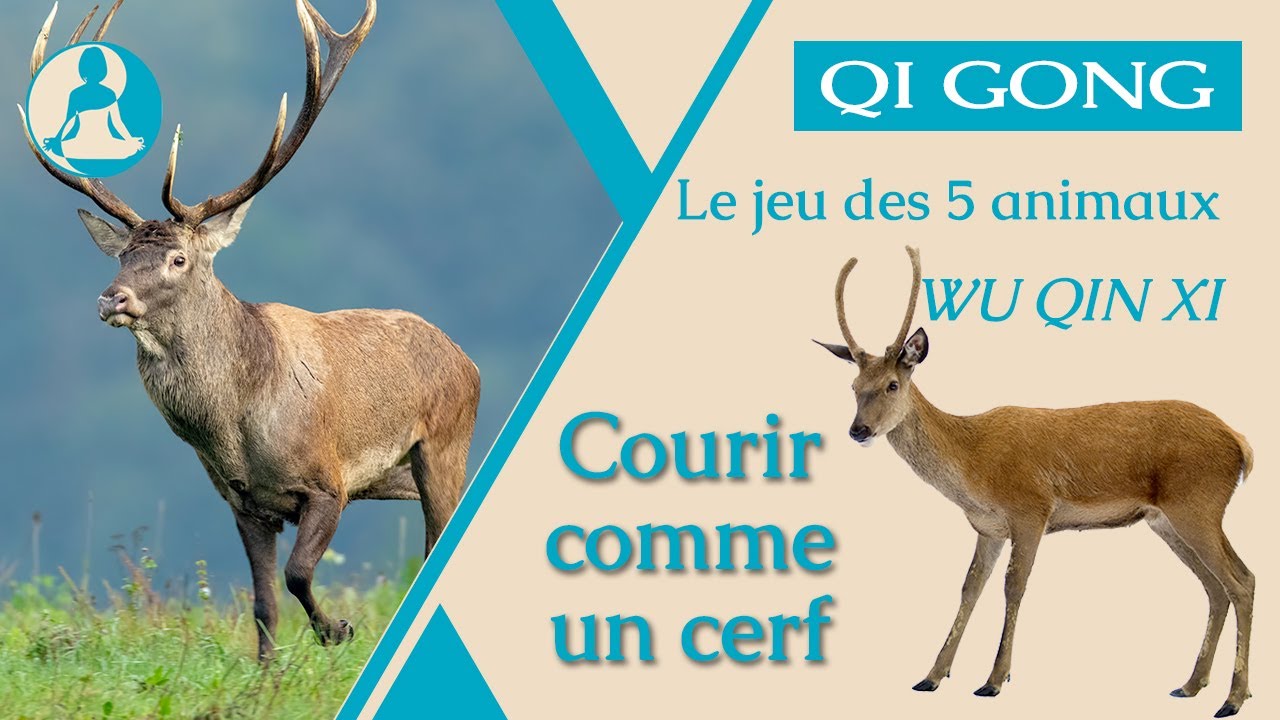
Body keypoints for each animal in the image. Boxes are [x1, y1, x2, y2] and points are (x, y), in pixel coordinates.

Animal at [18, 0, 480, 662]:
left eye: (178, 259)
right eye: (121, 256)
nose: (111, 297)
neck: (234, 428)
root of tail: (466, 360)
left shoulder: (328, 482)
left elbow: (297, 574)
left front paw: (338, 630)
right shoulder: (243, 503)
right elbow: (263, 605)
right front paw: (268, 675)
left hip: (444, 447)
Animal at [814, 247, 1256, 718]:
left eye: (892, 384)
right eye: (854, 385)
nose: (859, 430)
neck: (972, 464)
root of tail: (1241, 445)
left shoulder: (1031, 510)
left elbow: (1014, 586)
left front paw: (993, 680)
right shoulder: (988, 526)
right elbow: (969, 587)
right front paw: (931, 676)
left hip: (1198, 504)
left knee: (1241, 581)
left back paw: (1232, 698)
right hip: (1165, 520)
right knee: (1215, 586)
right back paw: (1191, 685)